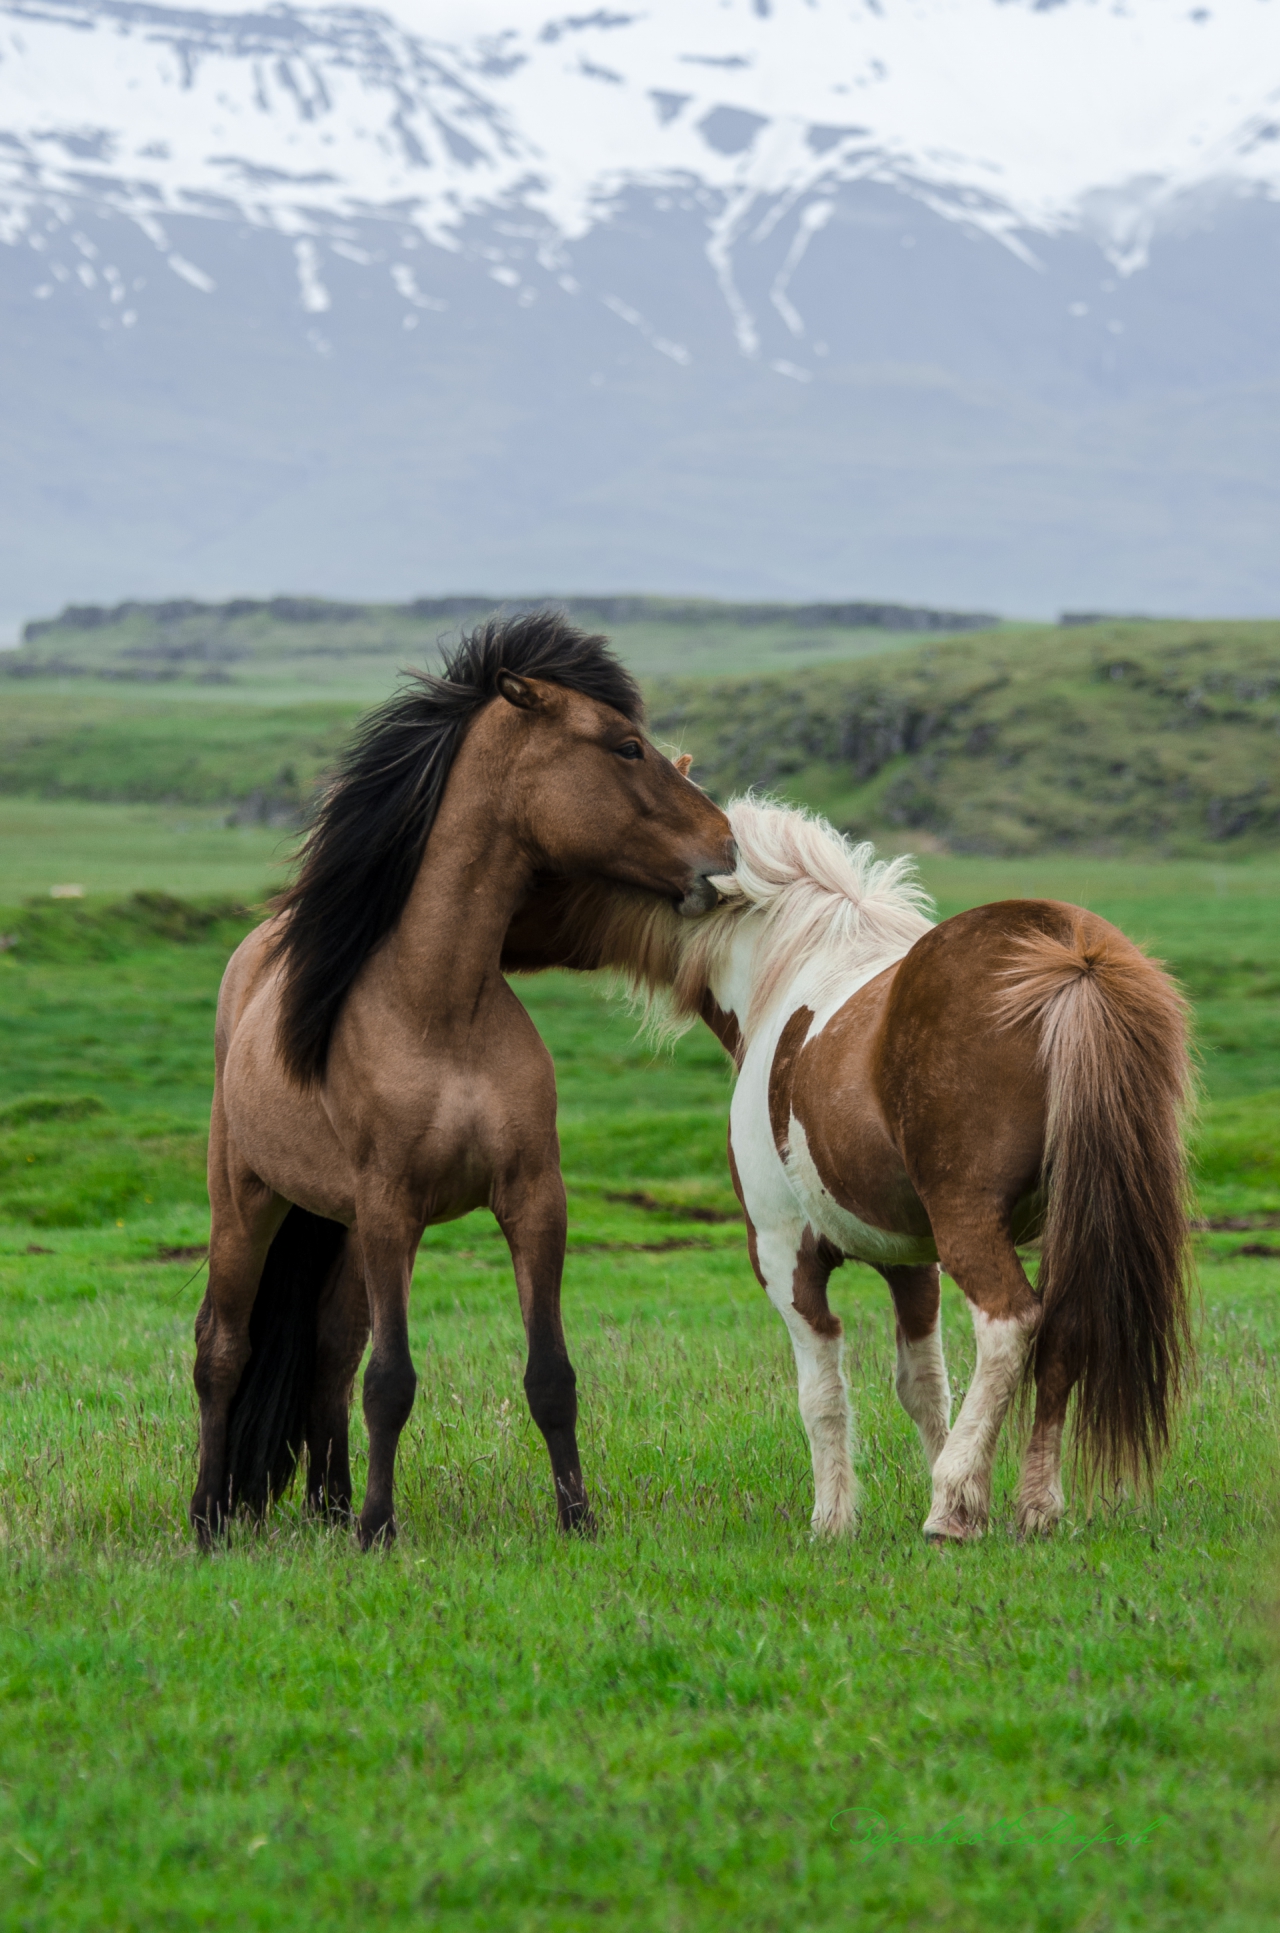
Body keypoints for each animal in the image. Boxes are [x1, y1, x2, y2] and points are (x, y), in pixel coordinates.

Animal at [189, 618, 730, 1554]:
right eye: (625, 745)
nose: (727, 847)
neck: (439, 1006)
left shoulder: (533, 1197)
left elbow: (549, 1373)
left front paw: (577, 1517)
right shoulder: (391, 1207)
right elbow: (392, 1380)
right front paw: (379, 1529)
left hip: (337, 1226)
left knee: (329, 1352)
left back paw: (327, 1502)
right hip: (250, 1200)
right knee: (223, 1348)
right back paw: (210, 1518)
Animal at [506, 796, 1198, 1538]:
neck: (787, 969)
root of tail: (1072, 957)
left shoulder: (784, 1254)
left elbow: (822, 1392)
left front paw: (834, 1520)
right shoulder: (910, 1260)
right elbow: (923, 1385)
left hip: (970, 1223)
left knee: (1011, 1324)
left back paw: (954, 1507)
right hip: (1077, 1222)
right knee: (1065, 1333)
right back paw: (1034, 1508)